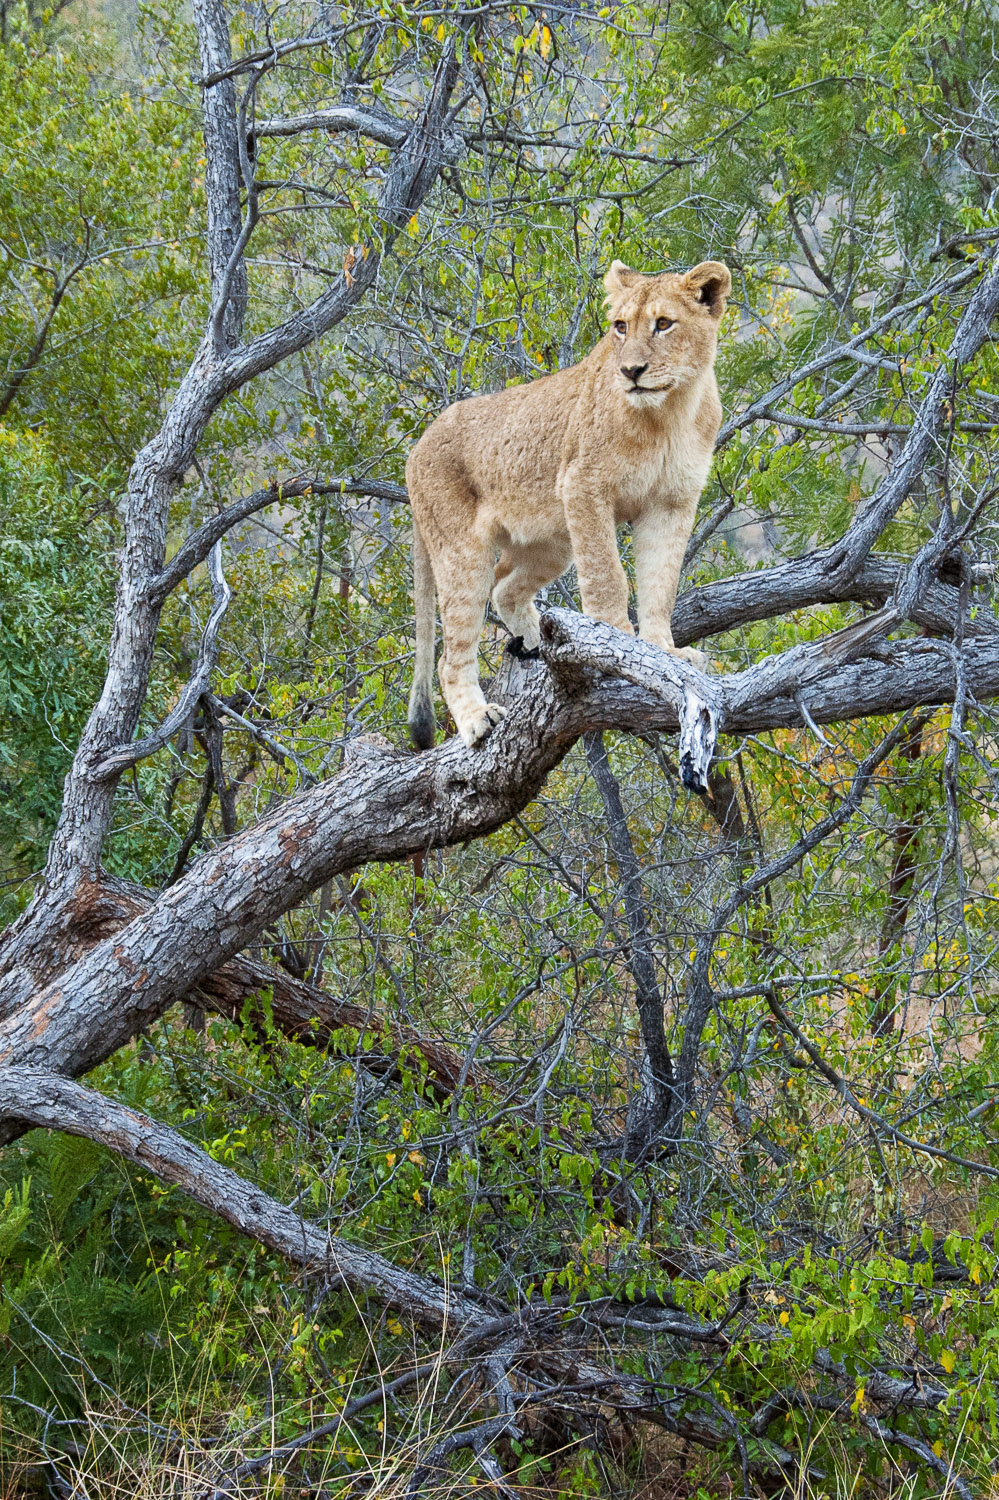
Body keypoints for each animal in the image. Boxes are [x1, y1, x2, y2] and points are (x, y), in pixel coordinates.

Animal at [406, 258, 731, 750]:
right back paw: (478, 719)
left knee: (505, 587)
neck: (668, 413)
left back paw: (534, 643)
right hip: (462, 552)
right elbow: (607, 576)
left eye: (663, 324)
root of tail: (416, 446)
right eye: (620, 327)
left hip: (551, 542)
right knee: (451, 653)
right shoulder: (584, 486)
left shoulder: (672, 502)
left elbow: (661, 584)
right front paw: (617, 644)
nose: (631, 371)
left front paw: (663, 651)